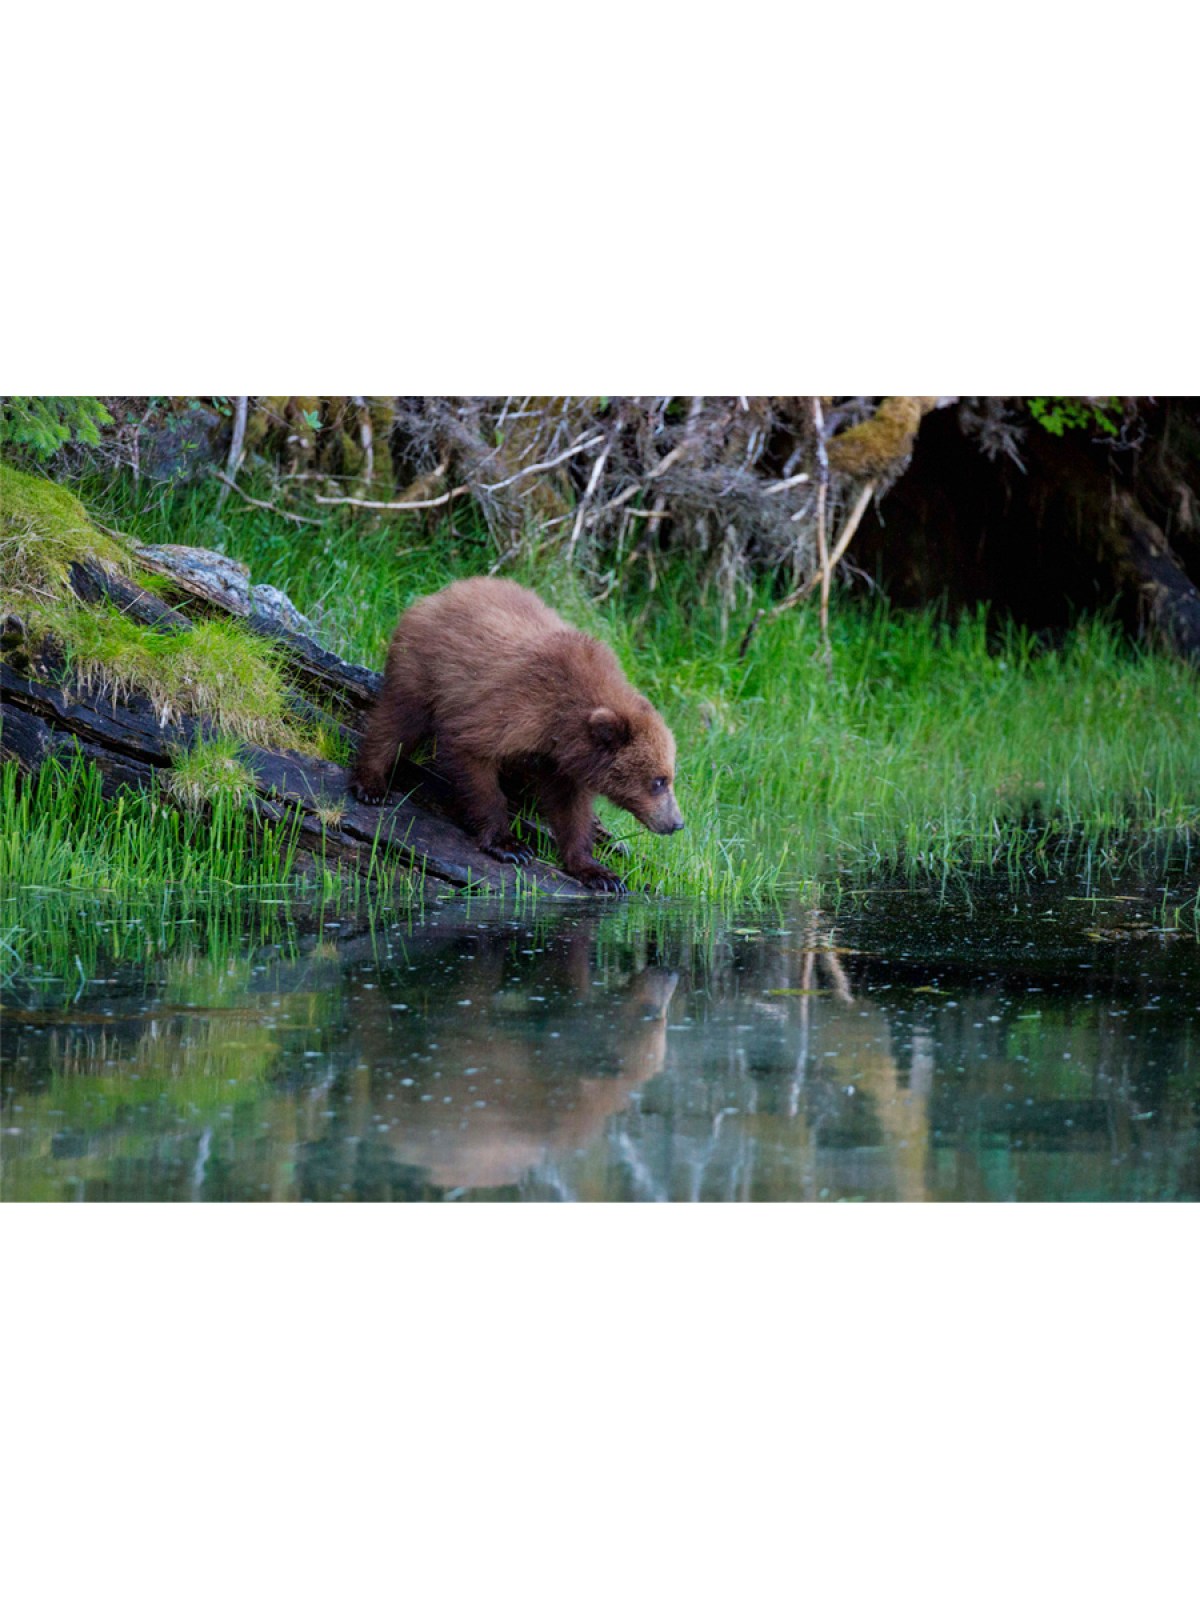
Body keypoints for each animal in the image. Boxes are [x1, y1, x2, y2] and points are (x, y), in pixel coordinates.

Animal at [352, 576, 683, 891]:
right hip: (423, 667)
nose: (677, 823)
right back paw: (371, 785)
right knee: (398, 721)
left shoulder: (564, 762)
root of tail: (440, 593)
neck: (563, 727)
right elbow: (474, 759)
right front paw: (510, 845)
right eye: (658, 781)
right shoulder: (516, 710)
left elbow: (572, 810)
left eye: (669, 777)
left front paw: (600, 873)